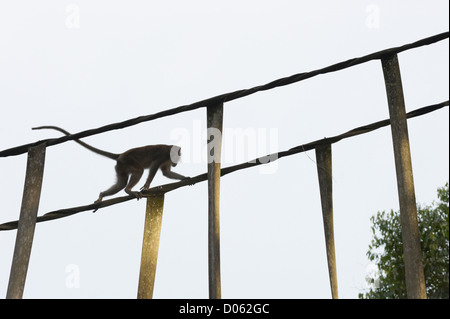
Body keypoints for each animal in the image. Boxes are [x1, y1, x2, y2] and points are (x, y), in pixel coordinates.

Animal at [32, 126, 189, 204]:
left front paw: (186, 178)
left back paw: (103, 195)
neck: (169, 152)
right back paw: (128, 190)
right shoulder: (163, 155)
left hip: (121, 166)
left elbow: (166, 172)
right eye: (177, 155)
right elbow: (154, 166)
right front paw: (147, 185)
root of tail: (120, 155)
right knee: (138, 171)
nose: (177, 161)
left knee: (120, 183)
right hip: (127, 161)